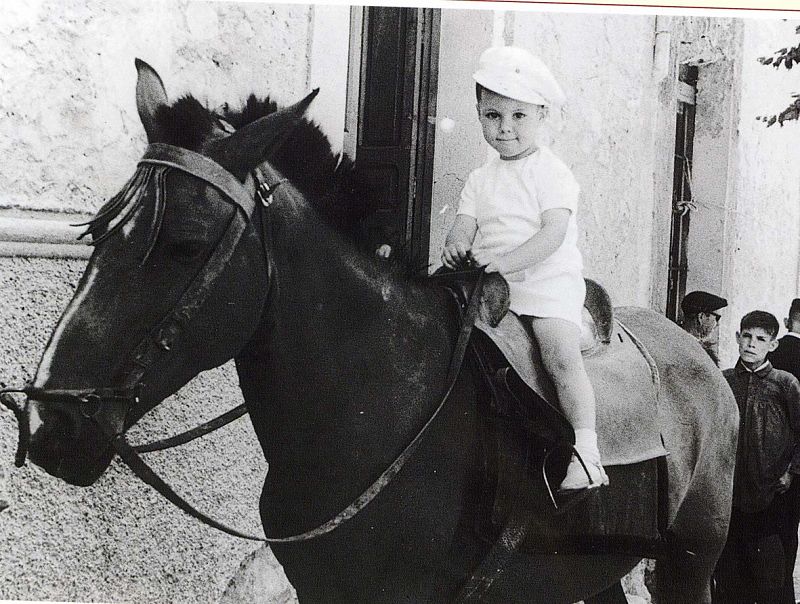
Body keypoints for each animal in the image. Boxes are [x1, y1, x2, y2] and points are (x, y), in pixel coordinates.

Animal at [15, 62, 736, 604]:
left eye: (185, 245)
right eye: (96, 230)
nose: (51, 423)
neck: (375, 413)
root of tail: (699, 357)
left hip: (690, 561)